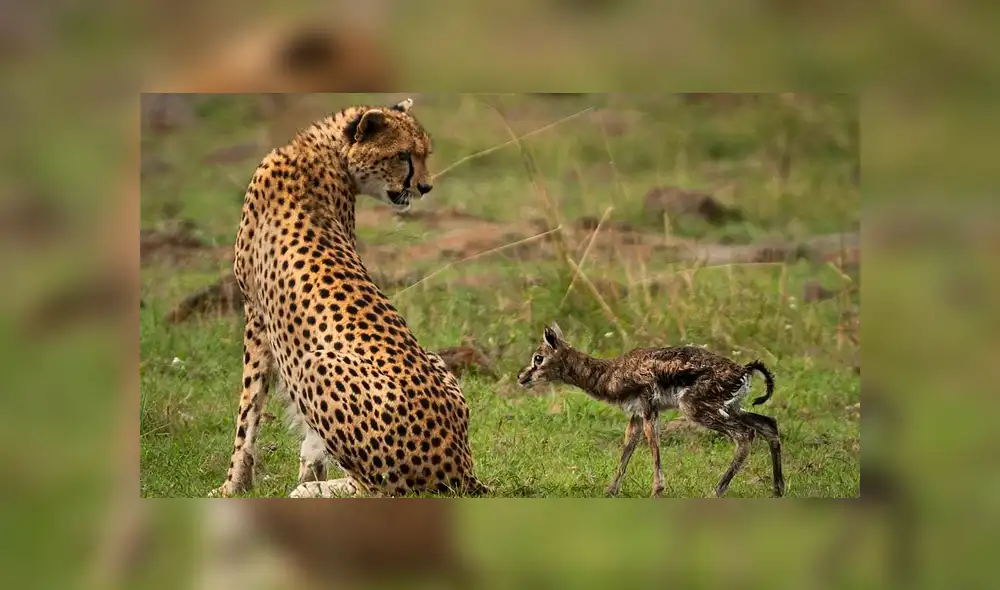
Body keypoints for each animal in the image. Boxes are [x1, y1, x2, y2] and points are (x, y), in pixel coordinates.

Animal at [210, 97, 489, 498]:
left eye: (424, 154)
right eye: (404, 155)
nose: (425, 187)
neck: (322, 149)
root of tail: (461, 471)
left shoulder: (257, 316)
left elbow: (247, 413)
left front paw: (234, 484)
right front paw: (304, 468)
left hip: (316, 362)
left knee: (374, 490)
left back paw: (312, 492)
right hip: (435, 360)